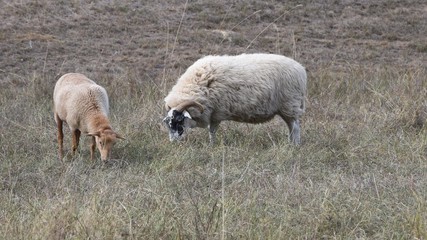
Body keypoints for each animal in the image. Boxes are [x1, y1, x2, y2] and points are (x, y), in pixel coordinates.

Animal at [163, 53, 308, 144]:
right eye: (168, 123)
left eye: (179, 121)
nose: (173, 143)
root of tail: (300, 69)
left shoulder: (217, 112)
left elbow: (212, 131)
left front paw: (212, 145)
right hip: (286, 107)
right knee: (291, 126)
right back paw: (290, 143)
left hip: (290, 103)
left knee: (295, 127)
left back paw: (294, 145)